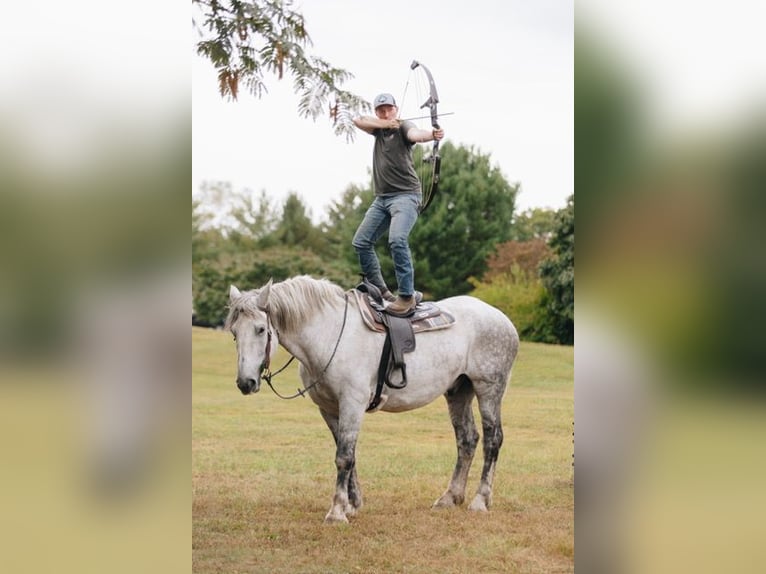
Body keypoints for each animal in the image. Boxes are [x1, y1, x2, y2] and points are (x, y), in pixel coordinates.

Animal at [225, 276, 520, 524]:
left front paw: (337, 512)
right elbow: (349, 455)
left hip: (489, 389)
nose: (245, 383)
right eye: (234, 333)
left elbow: (343, 457)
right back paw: (450, 497)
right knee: (467, 439)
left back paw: (480, 500)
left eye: (260, 329)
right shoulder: (329, 409)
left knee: (493, 440)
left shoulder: (352, 404)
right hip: (458, 391)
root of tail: (503, 319)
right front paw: (352, 504)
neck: (329, 334)